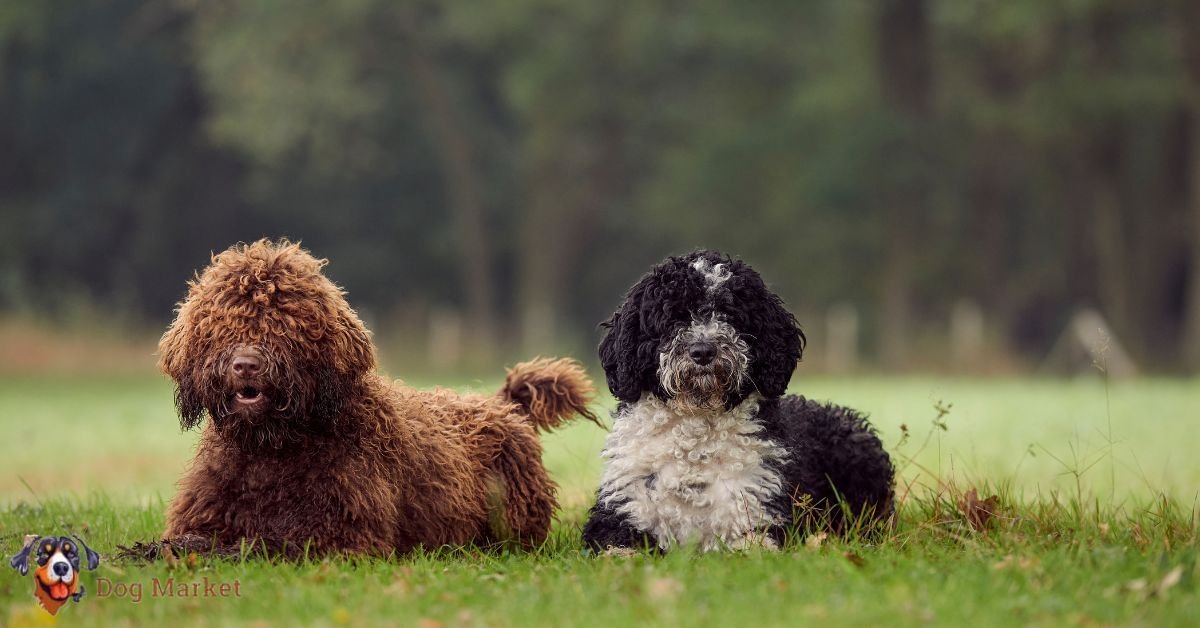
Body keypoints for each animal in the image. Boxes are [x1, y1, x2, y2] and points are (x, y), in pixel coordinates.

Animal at [154, 241, 595, 559]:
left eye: (284, 323)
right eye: (223, 322)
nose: (246, 365)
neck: (270, 451)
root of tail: (502, 404)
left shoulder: (344, 537)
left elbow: (261, 545)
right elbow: (186, 541)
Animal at [580, 250, 892, 549]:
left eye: (730, 314)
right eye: (673, 317)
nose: (703, 351)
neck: (695, 444)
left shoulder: (756, 513)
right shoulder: (622, 510)